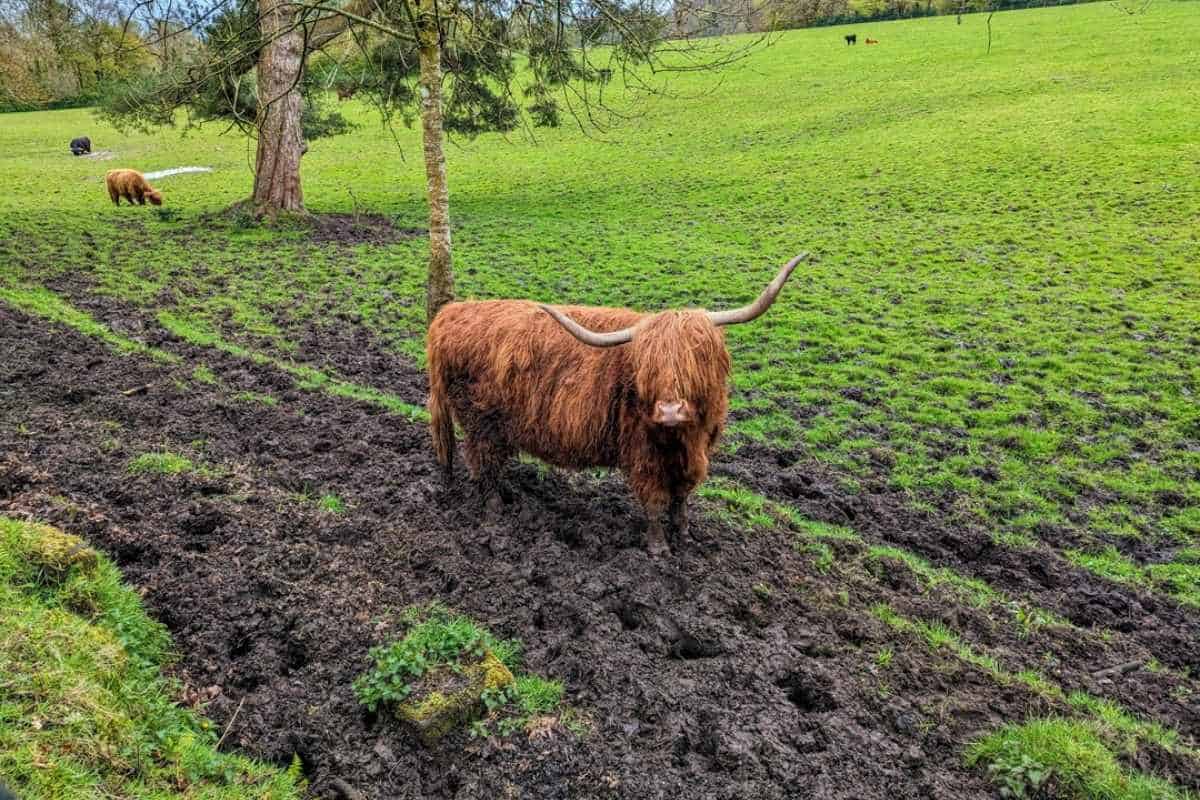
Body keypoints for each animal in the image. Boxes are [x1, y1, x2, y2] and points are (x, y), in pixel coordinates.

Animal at [426, 253, 808, 556]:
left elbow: (681, 497)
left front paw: (685, 535)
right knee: (483, 463)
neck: (681, 438)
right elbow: (654, 500)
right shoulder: (642, 454)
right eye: (649, 366)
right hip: (480, 422)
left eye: (696, 357)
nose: (670, 411)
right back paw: (494, 513)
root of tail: (451, 313)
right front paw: (658, 548)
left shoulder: (695, 453)